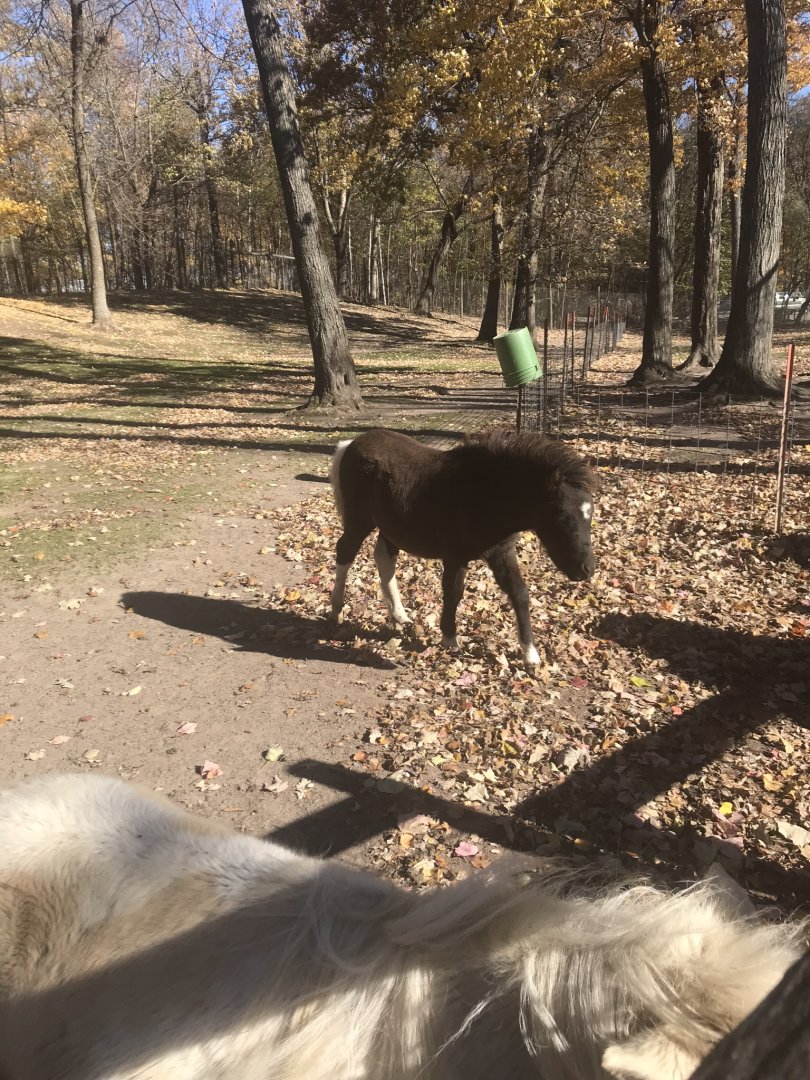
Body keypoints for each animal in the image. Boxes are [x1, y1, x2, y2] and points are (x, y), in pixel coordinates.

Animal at [329, 429, 597, 666]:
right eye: (561, 517)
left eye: (590, 515)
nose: (587, 569)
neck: (486, 496)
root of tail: (350, 444)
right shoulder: (455, 556)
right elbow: (453, 592)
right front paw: (450, 639)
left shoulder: (501, 553)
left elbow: (520, 593)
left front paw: (530, 656)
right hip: (359, 521)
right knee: (345, 552)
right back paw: (336, 611)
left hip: (389, 528)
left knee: (384, 559)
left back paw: (399, 617)